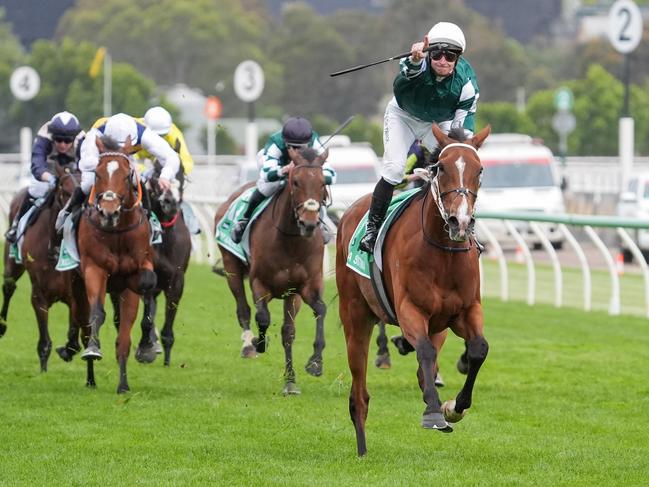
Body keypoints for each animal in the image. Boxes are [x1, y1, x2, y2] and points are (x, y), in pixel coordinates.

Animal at [0, 162, 88, 372]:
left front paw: (67, 350)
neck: (54, 248)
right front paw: (43, 371)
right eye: (64, 190)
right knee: (8, 286)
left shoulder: (74, 292)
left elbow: (74, 340)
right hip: (12, 264)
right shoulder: (38, 294)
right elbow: (44, 342)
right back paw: (2, 325)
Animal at [78, 134, 158, 392]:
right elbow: (97, 312)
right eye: (97, 173)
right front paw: (93, 349)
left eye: (126, 175)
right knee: (82, 325)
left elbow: (126, 335)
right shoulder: (94, 268)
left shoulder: (135, 275)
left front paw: (146, 347)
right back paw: (90, 378)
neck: (118, 232)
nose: (109, 211)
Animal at [215, 146, 330, 396]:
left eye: (322, 183)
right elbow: (263, 317)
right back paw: (249, 346)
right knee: (243, 309)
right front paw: (259, 343)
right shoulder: (260, 283)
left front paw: (311, 366)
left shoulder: (301, 288)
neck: (290, 240)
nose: (309, 223)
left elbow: (305, 320)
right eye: (295, 181)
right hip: (231, 267)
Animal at [336, 124, 488, 456]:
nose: (460, 222)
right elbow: (426, 352)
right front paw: (433, 413)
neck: (443, 253)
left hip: (438, 325)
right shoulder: (410, 309)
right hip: (355, 317)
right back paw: (362, 448)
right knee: (359, 394)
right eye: (441, 168)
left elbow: (478, 349)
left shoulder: (466, 310)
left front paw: (454, 407)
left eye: (480, 170)